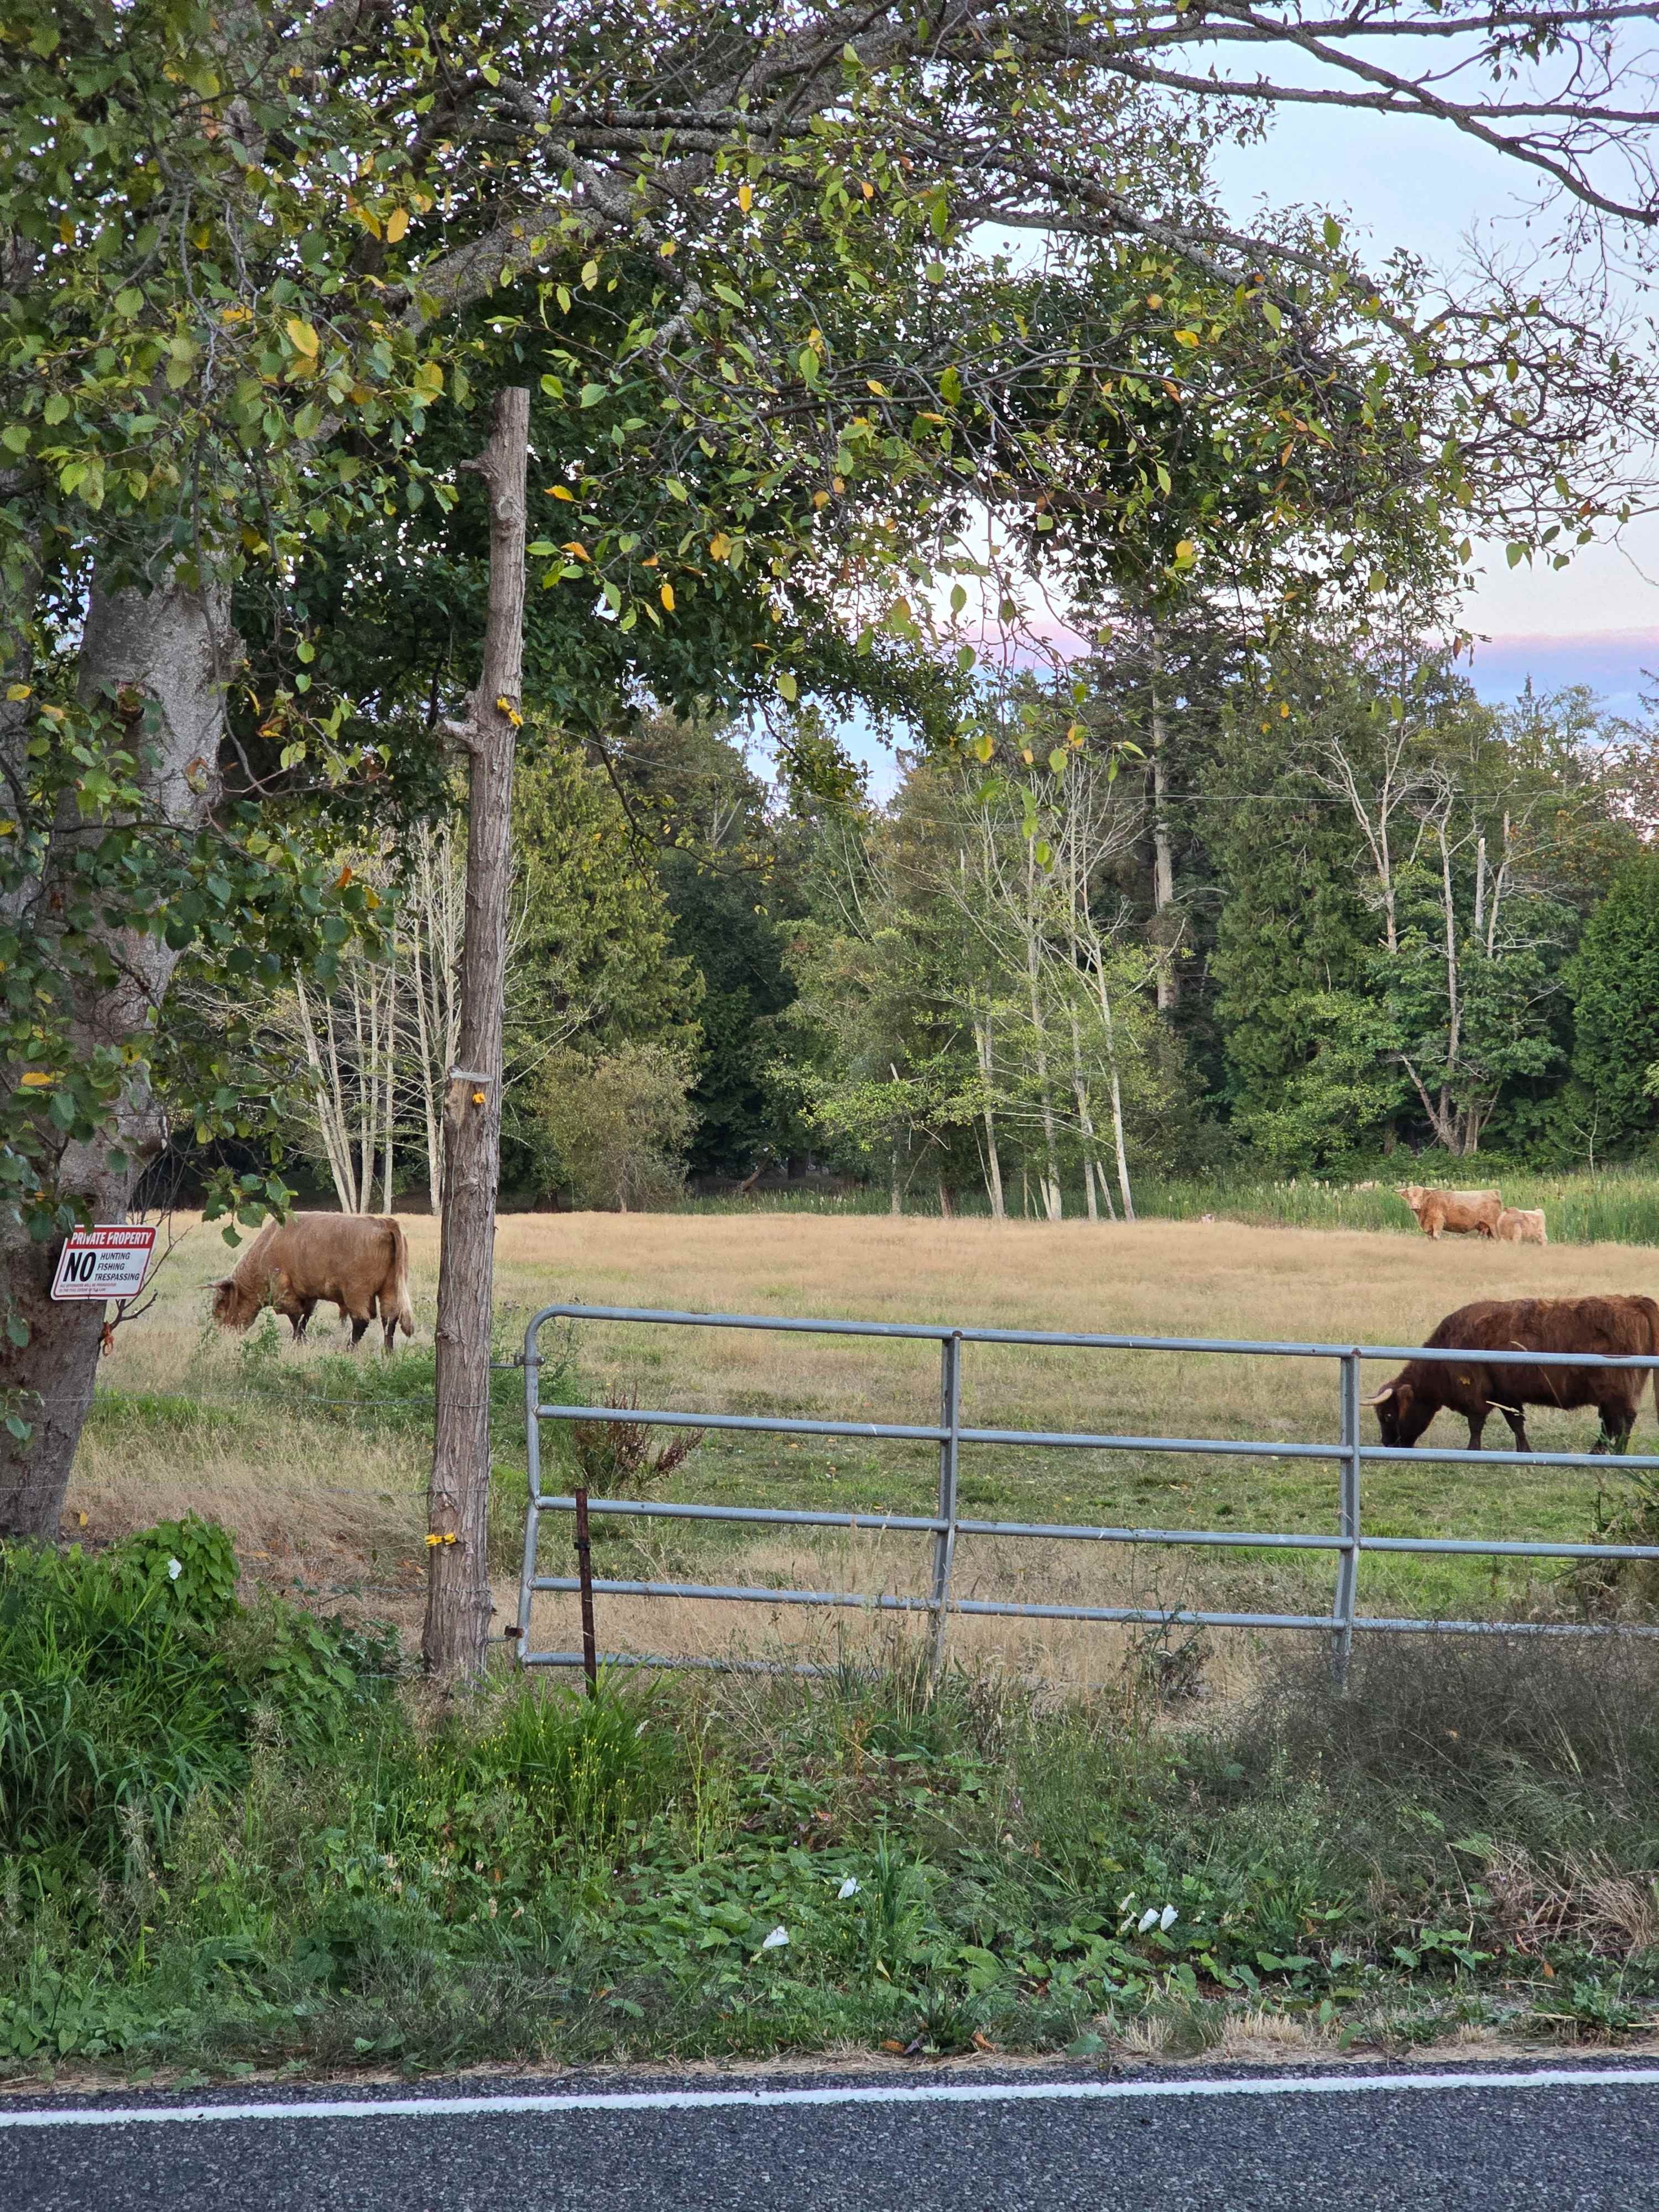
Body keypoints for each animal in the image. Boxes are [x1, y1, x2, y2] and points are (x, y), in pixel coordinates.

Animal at [209, 1213, 415, 1352]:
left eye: (221, 1303)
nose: (222, 1333)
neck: (266, 1247)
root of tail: (384, 1222)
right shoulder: (308, 1294)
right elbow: (304, 1318)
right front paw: (301, 1341)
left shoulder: (284, 1293)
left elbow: (296, 1318)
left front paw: (297, 1341)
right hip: (390, 1289)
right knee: (390, 1319)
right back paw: (388, 1352)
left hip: (357, 1292)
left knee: (361, 1321)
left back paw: (349, 1349)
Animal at [1366, 1295, 1659, 1456]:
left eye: (1388, 1415)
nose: (1387, 1444)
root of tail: (1633, 1301)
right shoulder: (1506, 1395)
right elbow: (1516, 1423)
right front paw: (1524, 1450)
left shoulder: (1476, 1394)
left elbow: (1476, 1424)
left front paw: (1473, 1450)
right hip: (1610, 1396)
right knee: (1611, 1424)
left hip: (1616, 1391)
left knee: (1622, 1422)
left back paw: (1617, 1454)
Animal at [1396, 1184, 1503, 1240]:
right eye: (1410, 1197)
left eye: (1421, 1197)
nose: (1415, 1206)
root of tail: (1493, 1191)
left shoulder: (1438, 1221)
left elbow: (1436, 1236)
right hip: (1485, 1227)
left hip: (1494, 1225)